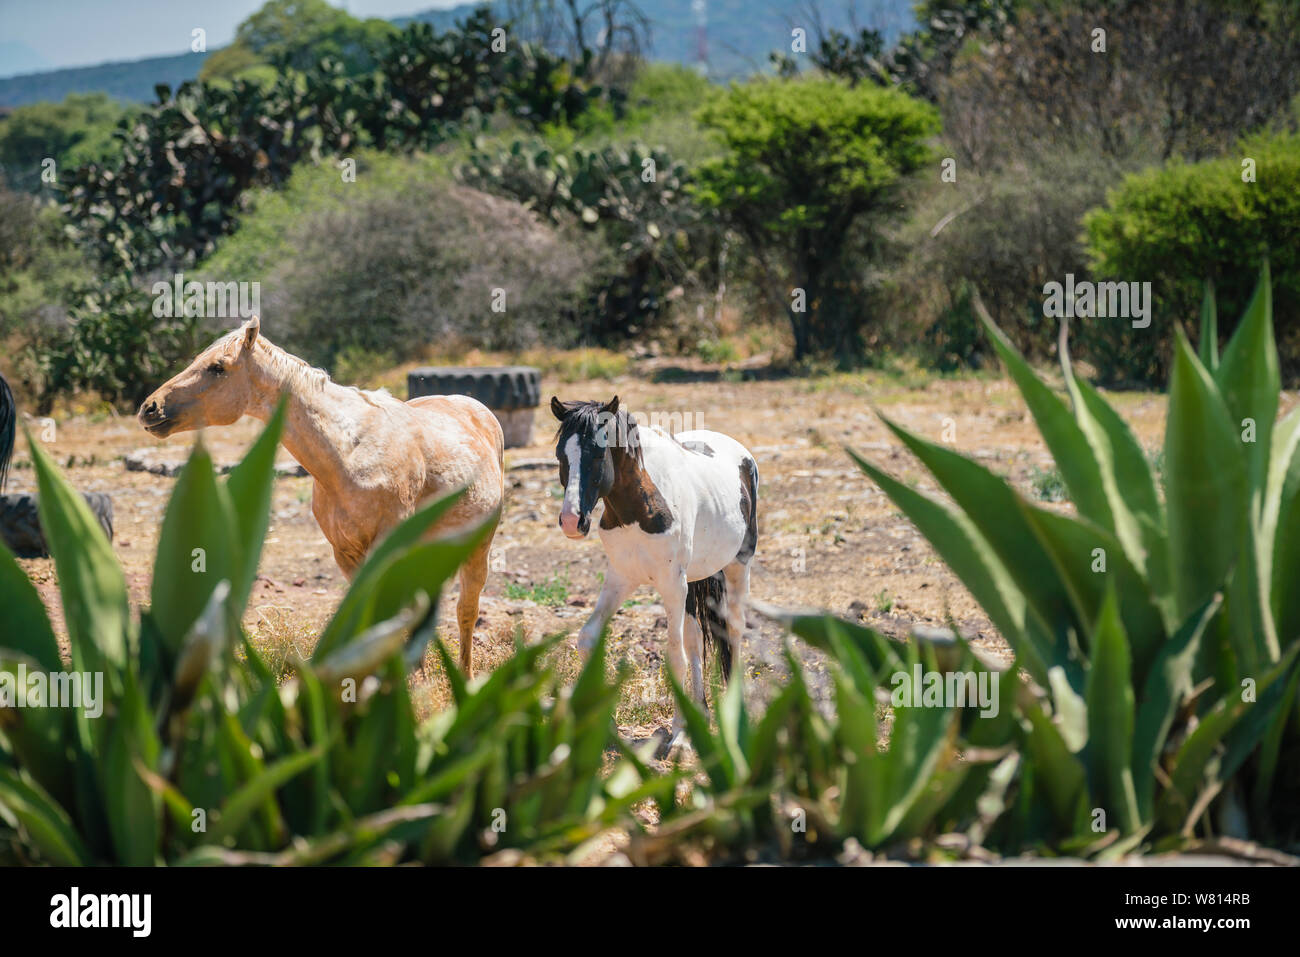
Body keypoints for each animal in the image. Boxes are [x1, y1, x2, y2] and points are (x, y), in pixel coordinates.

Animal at [139, 317, 504, 676]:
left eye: (217, 367)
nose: (149, 408)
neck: (351, 453)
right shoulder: (345, 554)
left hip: (478, 548)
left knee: (466, 612)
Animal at [551, 395, 759, 754]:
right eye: (561, 456)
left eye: (597, 454)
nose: (571, 521)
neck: (638, 507)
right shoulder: (621, 578)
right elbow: (588, 638)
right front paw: (606, 727)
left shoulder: (672, 585)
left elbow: (675, 656)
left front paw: (678, 736)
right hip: (693, 582)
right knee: (695, 640)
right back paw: (701, 714)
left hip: (736, 567)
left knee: (732, 631)